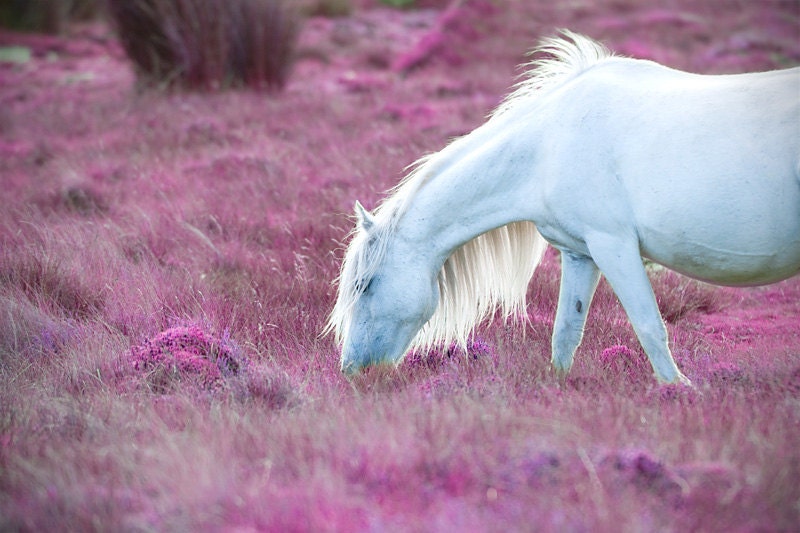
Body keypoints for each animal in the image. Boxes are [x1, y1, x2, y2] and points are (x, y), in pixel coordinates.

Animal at [326, 31, 800, 384]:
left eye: (364, 285)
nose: (352, 370)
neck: (549, 145)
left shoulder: (614, 247)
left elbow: (650, 327)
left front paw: (678, 390)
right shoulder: (580, 254)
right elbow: (566, 333)